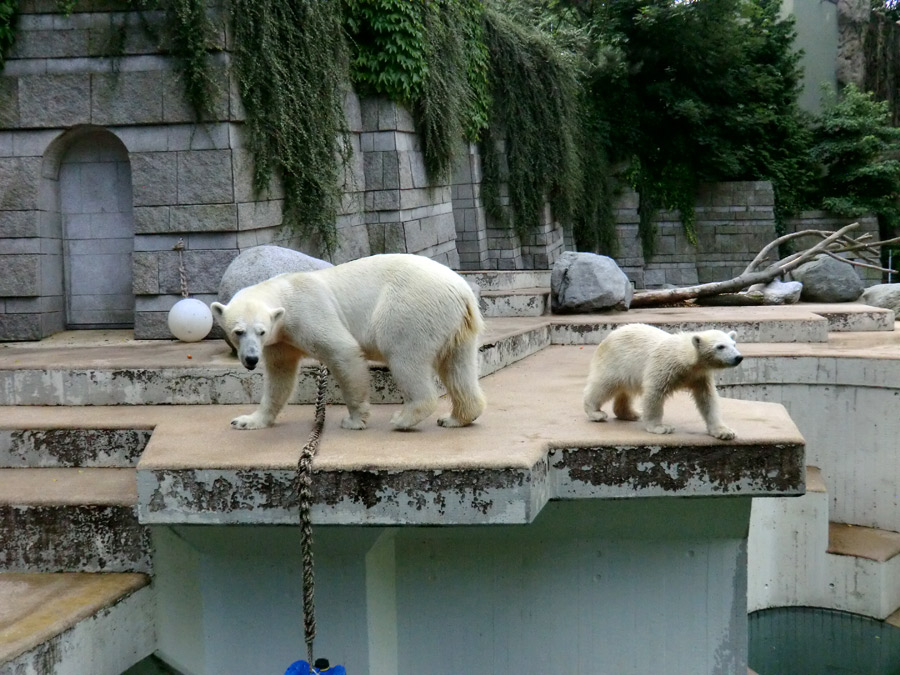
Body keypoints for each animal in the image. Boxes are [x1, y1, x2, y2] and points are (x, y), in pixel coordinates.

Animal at [210, 254, 486, 434]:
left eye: (261, 331)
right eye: (238, 332)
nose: (251, 359)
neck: (285, 291)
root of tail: (462, 291)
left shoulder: (307, 313)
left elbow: (343, 351)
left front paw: (354, 421)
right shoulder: (280, 341)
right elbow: (280, 377)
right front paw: (247, 421)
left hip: (410, 309)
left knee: (405, 357)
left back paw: (402, 419)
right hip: (457, 325)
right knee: (458, 365)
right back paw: (455, 418)